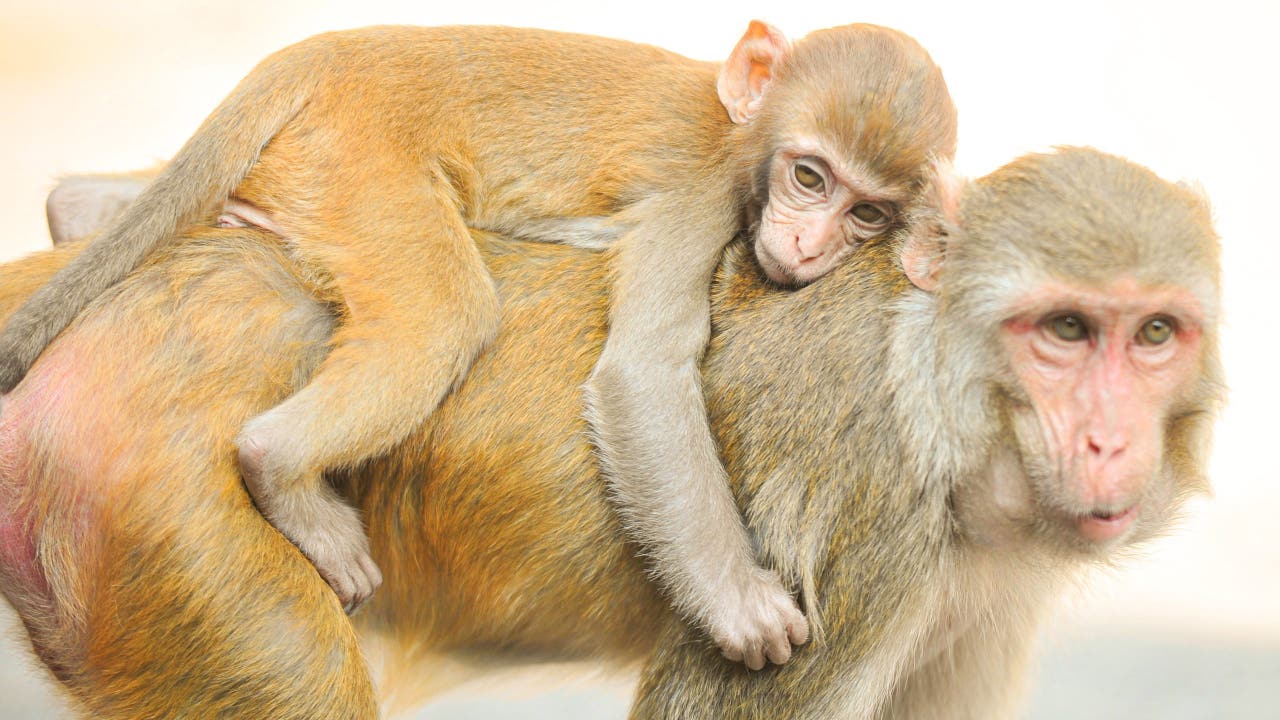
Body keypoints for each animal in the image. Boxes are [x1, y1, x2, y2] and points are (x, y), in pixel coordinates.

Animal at [0, 24, 958, 664]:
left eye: (867, 213)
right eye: (810, 176)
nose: (810, 244)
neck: (745, 128)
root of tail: (321, 51)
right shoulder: (704, 191)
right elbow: (643, 372)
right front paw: (739, 605)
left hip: (304, 165)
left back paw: (80, 212)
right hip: (360, 159)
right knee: (445, 316)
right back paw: (279, 468)